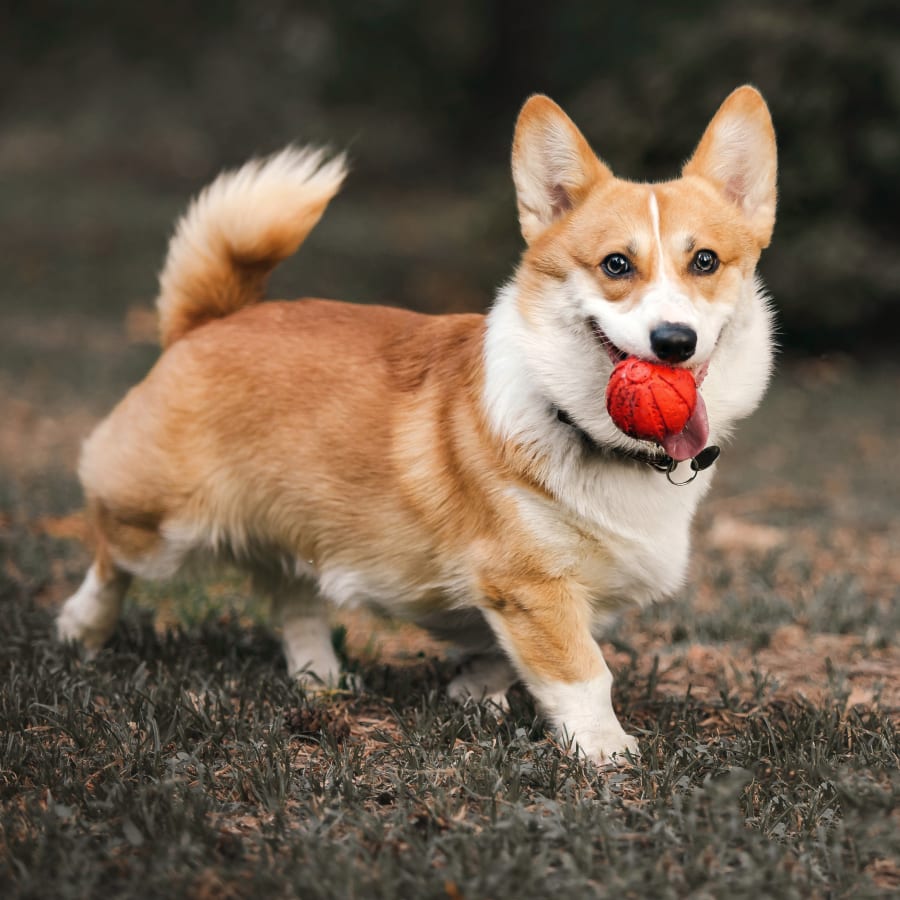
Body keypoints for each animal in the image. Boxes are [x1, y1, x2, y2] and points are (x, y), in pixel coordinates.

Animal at [56, 84, 776, 764]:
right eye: (616, 265)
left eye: (705, 261)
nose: (674, 341)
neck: (584, 425)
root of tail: (206, 321)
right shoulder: (530, 585)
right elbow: (582, 671)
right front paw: (605, 750)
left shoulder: (542, 593)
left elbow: (509, 652)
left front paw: (472, 692)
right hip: (160, 526)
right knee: (112, 557)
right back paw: (79, 627)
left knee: (293, 595)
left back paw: (321, 678)